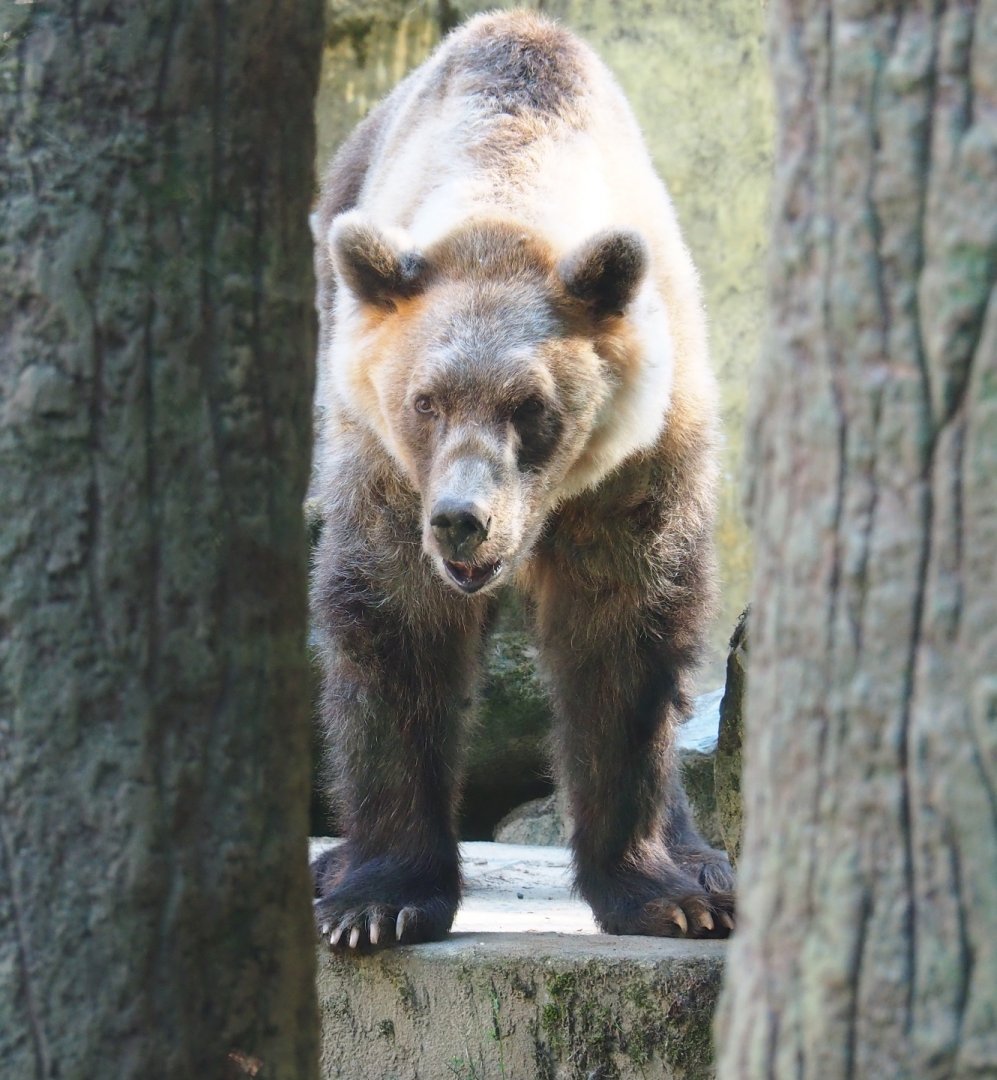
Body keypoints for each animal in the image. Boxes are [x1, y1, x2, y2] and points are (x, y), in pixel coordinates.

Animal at [310, 10, 734, 949]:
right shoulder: (382, 465)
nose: (461, 519)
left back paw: (703, 867)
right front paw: (378, 899)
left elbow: (622, 636)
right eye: (425, 400)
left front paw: (659, 891)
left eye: (530, 405)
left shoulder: (636, 464)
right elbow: (395, 621)